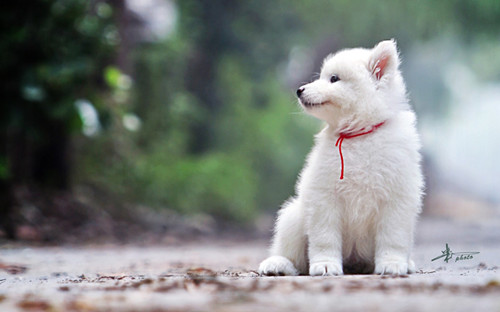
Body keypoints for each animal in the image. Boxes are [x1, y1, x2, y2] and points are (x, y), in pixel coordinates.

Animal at [260, 40, 424, 276]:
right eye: (322, 76)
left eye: (334, 78)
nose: (299, 90)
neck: (359, 135)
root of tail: (354, 261)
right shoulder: (324, 196)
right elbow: (324, 238)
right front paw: (325, 264)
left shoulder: (397, 197)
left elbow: (393, 237)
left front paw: (392, 263)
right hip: (293, 216)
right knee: (293, 255)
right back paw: (278, 264)